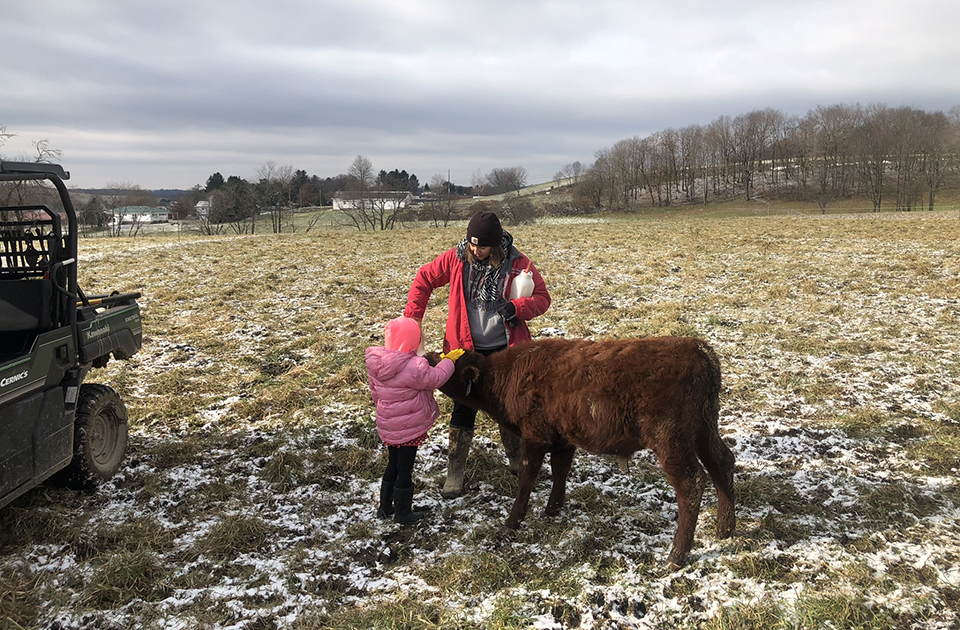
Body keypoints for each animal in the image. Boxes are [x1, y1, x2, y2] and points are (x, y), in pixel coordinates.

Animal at [427, 336, 735, 568]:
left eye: (448, 364)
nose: (429, 357)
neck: (509, 374)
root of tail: (698, 349)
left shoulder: (534, 437)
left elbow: (527, 480)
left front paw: (510, 525)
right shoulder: (563, 440)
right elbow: (560, 471)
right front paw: (552, 509)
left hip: (671, 441)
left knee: (691, 483)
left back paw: (675, 557)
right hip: (704, 431)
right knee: (723, 462)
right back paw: (725, 530)